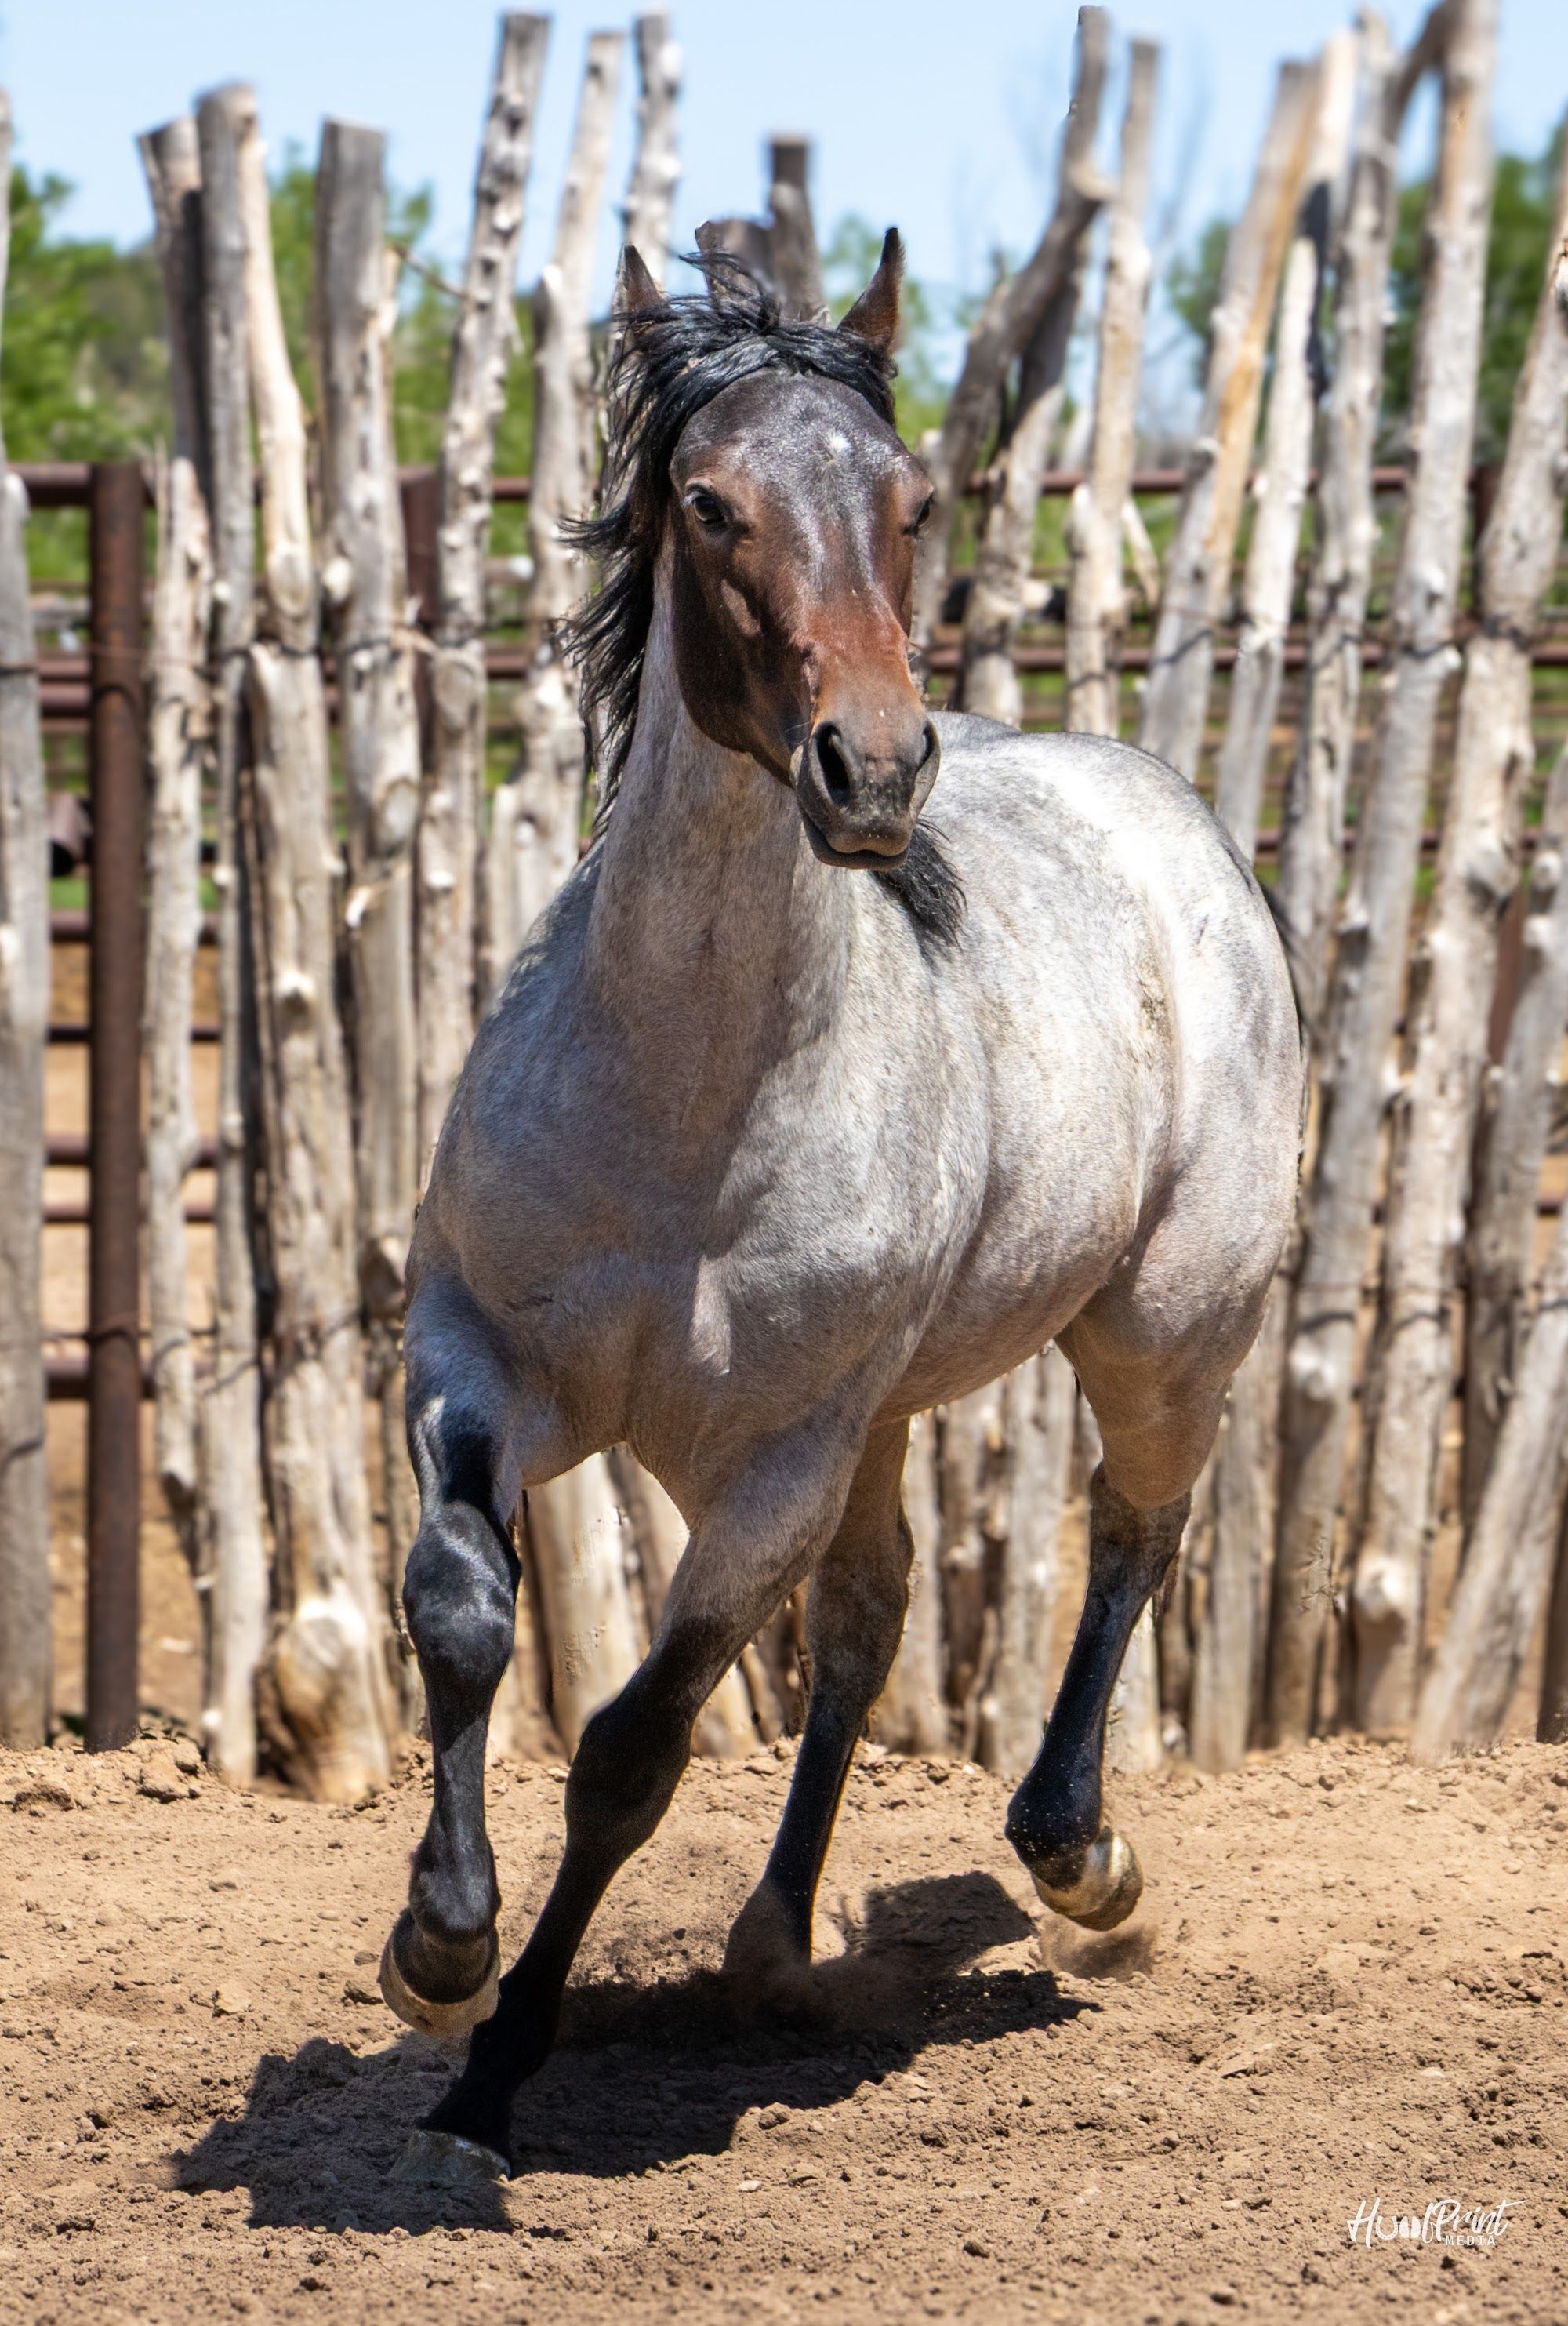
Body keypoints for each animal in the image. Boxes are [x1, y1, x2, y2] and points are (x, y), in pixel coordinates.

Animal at [379, 232, 1303, 2182]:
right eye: (708, 501)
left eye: (908, 497)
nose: (870, 769)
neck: (684, 1100)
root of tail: (1174, 816)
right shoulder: (474, 1355)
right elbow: (463, 1605)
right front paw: (435, 1944)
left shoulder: (769, 1469)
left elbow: (633, 1750)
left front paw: (496, 2069)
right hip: (883, 1417)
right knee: (874, 1627)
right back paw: (766, 1944)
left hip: (1160, 1333)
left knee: (1133, 1531)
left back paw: (1081, 1855)